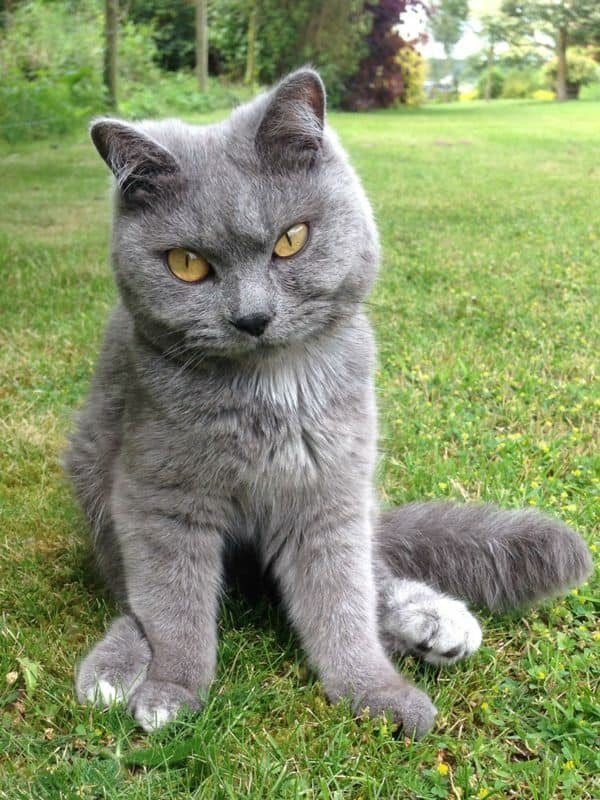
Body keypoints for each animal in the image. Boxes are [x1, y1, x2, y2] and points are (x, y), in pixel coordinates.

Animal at [68, 69, 592, 736]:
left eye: (291, 240)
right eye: (186, 264)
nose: (252, 317)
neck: (270, 393)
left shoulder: (332, 488)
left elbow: (341, 599)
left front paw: (374, 691)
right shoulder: (159, 494)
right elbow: (171, 600)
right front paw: (170, 688)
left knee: (373, 566)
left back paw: (431, 620)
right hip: (91, 466)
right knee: (130, 592)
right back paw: (117, 662)